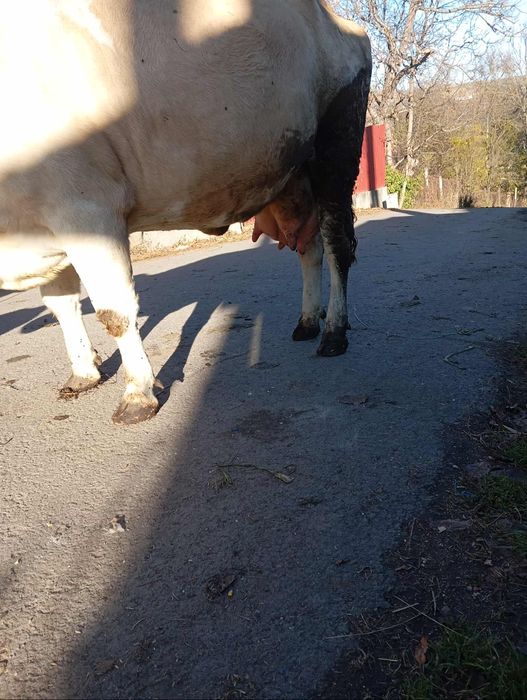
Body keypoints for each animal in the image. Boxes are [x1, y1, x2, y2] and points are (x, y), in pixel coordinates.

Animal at [0, 0, 371, 424]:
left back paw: (334, 332)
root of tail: (337, 21)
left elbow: (113, 311)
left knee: (336, 245)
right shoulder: (45, 222)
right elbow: (62, 307)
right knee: (308, 247)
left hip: (337, 148)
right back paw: (308, 320)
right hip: (289, 174)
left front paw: (137, 394)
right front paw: (83, 373)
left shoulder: (86, 208)